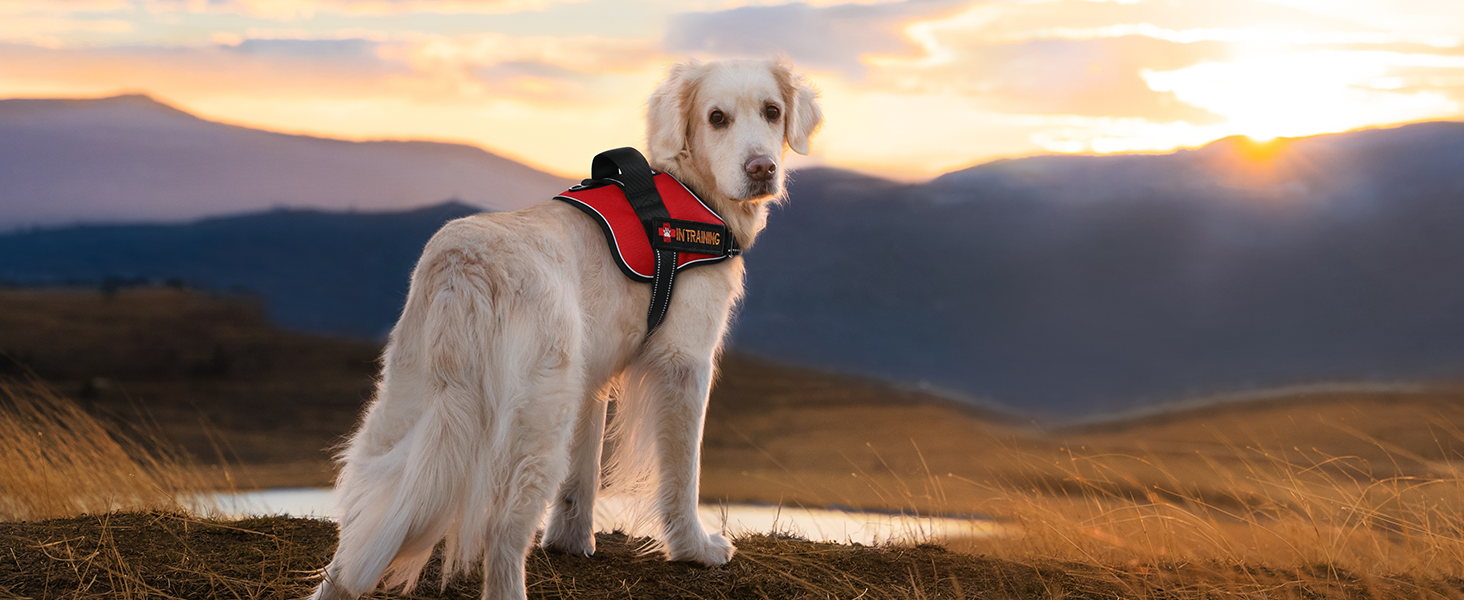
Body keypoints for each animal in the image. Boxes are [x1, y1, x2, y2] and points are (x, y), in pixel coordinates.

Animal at [310, 59, 825, 600]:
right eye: (716, 118)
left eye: (772, 111)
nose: (761, 168)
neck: (691, 190)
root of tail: (465, 266)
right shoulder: (684, 362)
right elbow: (682, 474)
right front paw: (695, 549)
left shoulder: (592, 379)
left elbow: (583, 473)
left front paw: (571, 541)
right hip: (535, 424)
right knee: (501, 535)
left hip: (408, 406)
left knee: (358, 528)